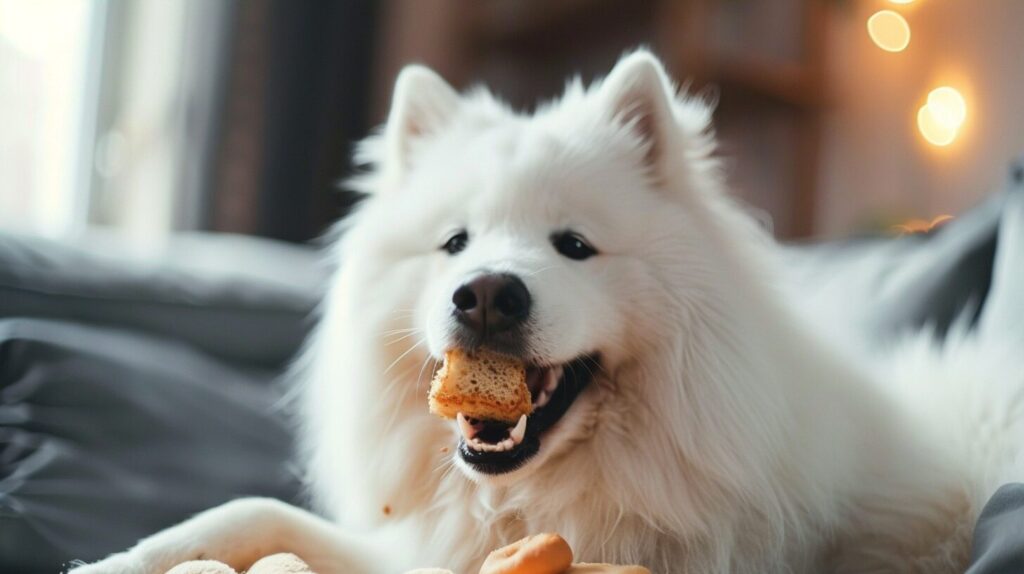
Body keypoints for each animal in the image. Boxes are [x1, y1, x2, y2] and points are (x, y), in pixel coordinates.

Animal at [72, 50, 1024, 572]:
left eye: (573, 245)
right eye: (454, 243)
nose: (487, 293)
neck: (543, 498)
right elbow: (247, 510)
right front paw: (119, 561)